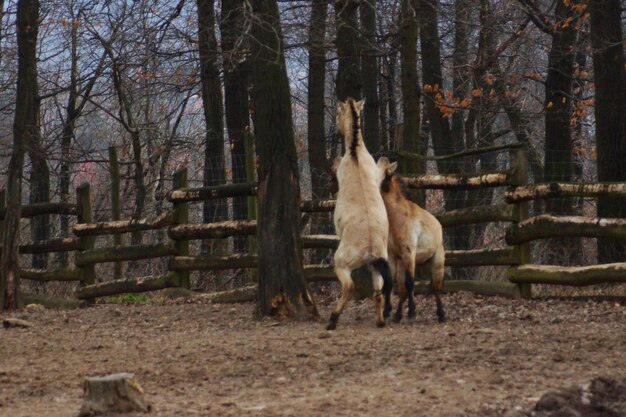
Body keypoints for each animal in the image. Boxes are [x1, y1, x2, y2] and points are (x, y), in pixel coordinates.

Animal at [326, 97, 390, 328]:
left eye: (338, 113)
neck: (355, 155)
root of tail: (370, 250)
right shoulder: (376, 170)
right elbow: (383, 163)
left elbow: (335, 164)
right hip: (376, 268)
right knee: (378, 293)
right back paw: (380, 321)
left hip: (342, 264)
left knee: (349, 288)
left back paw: (333, 320)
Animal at [372, 158, 446, 324]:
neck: (397, 217)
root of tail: (438, 226)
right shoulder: (394, 256)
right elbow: (393, 283)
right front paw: (389, 312)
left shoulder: (409, 255)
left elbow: (410, 283)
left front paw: (412, 312)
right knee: (407, 288)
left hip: (437, 260)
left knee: (437, 287)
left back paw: (442, 315)